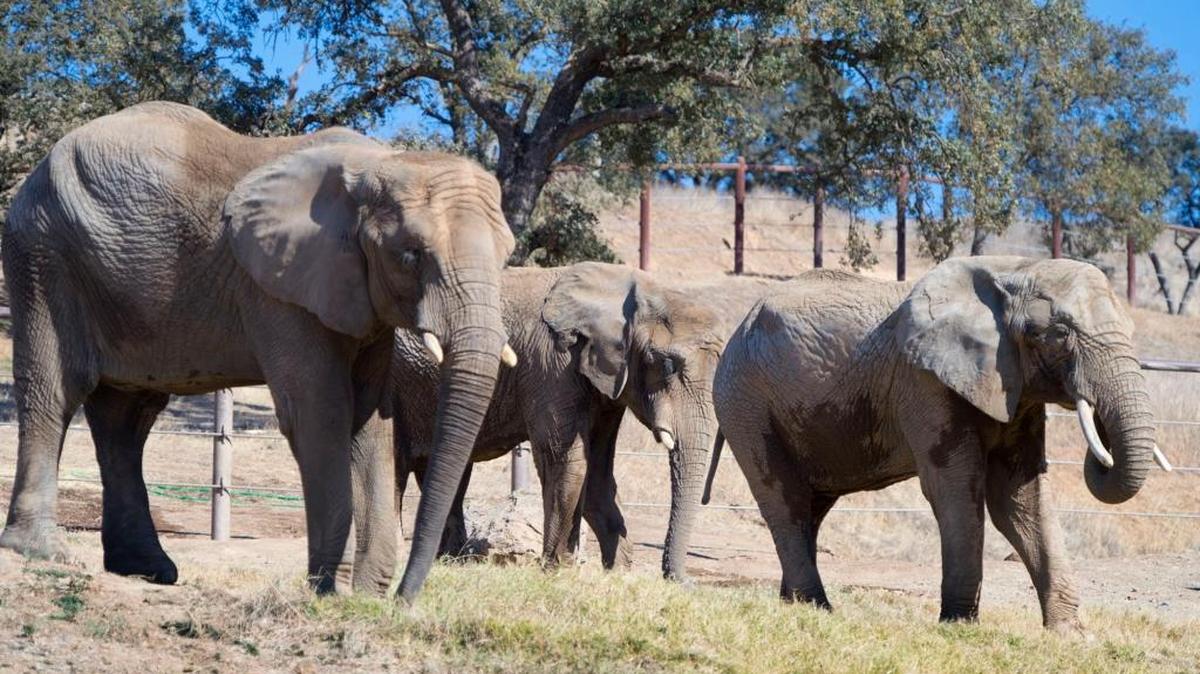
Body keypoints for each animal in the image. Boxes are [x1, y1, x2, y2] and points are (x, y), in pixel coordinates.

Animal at [1, 101, 516, 600]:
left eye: (507, 254)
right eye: (410, 254)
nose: (404, 601)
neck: (381, 163)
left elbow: (369, 421)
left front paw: (365, 596)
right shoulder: (278, 289)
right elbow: (321, 412)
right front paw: (331, 592)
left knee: (126, 417)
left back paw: (147, 570)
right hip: (42, 255)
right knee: (57, 391)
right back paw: (43, 552)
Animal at [391, 262, 726, 580]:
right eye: (668, 365)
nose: (683, 581)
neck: (630, 290)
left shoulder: (604, 384)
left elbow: (598, 471)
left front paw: (616, 573)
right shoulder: (551, 363)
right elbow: (567, 460)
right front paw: (559, 569)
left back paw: (451, 560)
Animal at [709, 257, 1172, 629]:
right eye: (1058, 333)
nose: (1101, 454)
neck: (1014, 270)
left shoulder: (1013, 388)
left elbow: (1019, 498)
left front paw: (1067, 634)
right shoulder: (925, 382)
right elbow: (955, 488)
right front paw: (960, 626)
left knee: (811, 506)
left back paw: (794, 606)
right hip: (744, 400)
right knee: (783, 498)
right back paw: (819, 608)